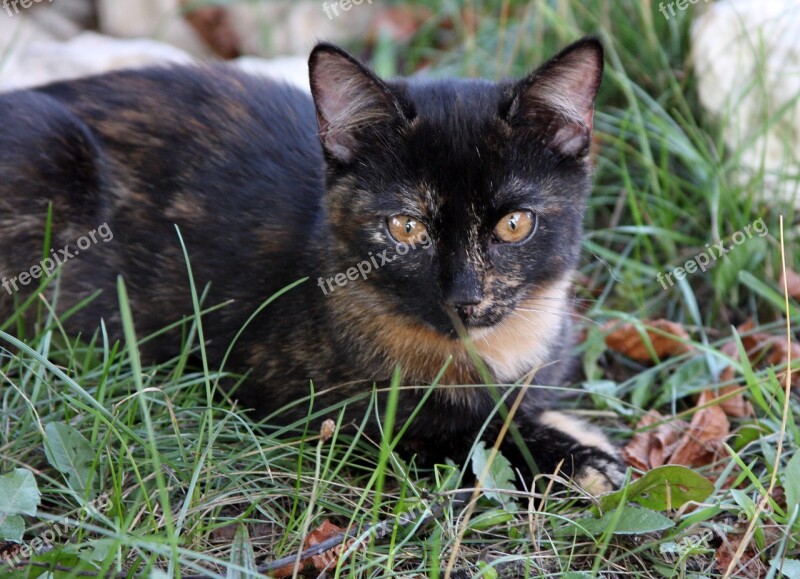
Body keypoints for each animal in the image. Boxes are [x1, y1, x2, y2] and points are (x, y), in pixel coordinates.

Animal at [0, 38, 624, 496]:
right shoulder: (335, 420)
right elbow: (465, 435)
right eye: (406, 228)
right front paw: (585, 461)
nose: (463, 298)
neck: (491, 356)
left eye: (514, 224)